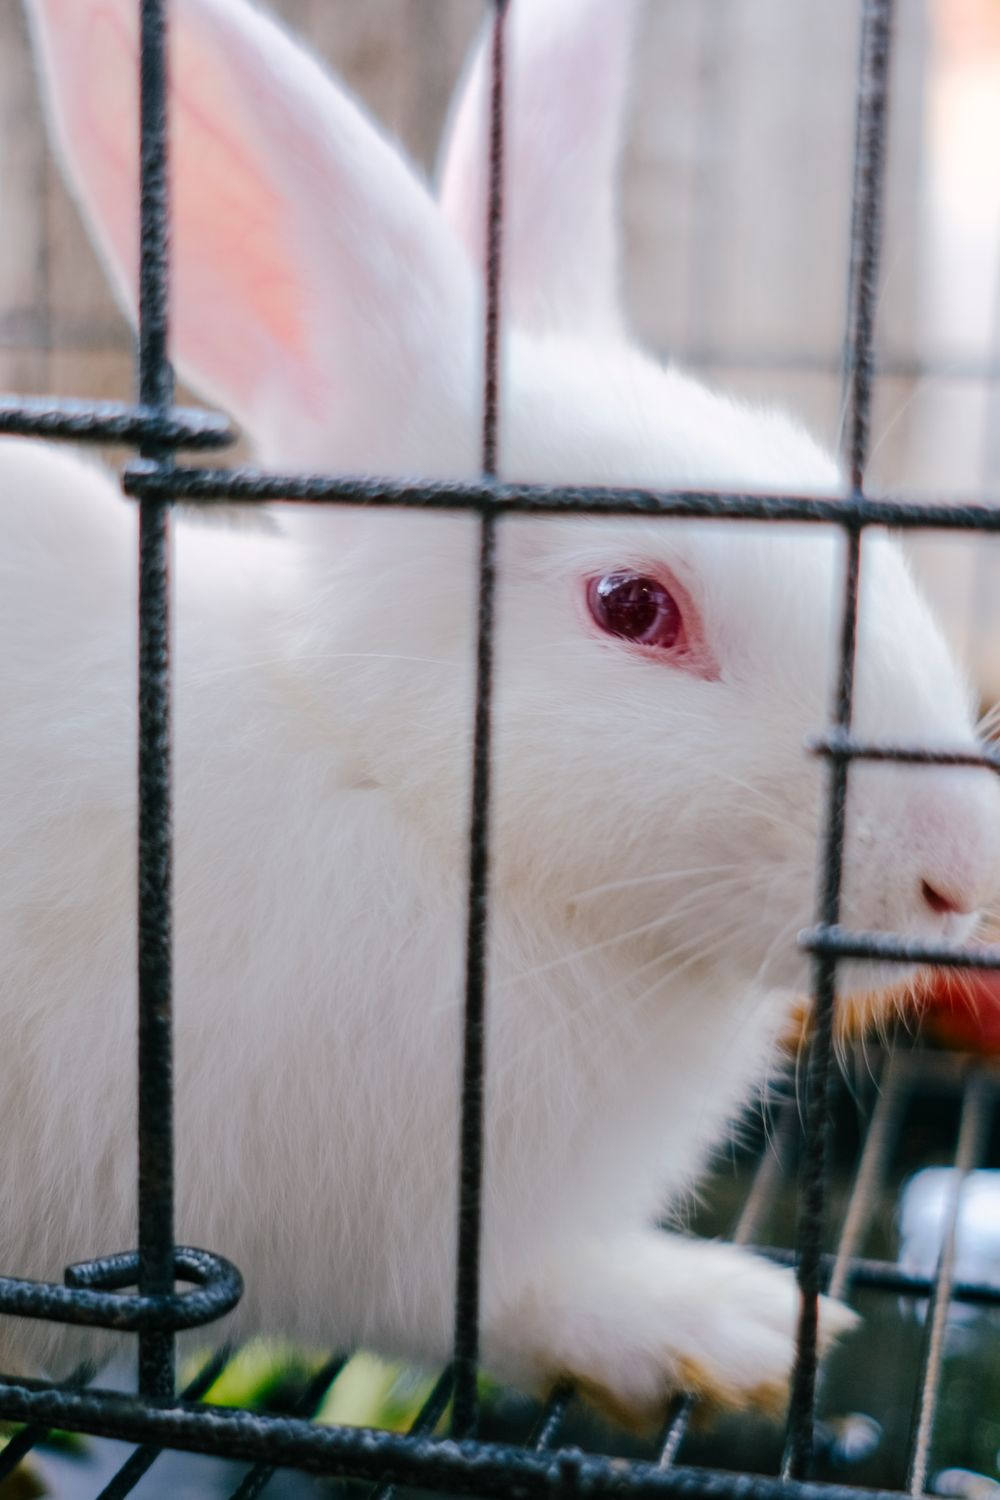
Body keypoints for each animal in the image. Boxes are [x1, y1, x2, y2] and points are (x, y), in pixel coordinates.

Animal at [8, 0, 999, 1426]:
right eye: (631, 605)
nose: (958, 876)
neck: (389, 783)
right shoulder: (374, 1237)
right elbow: (497, 1304)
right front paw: (728, 1322)